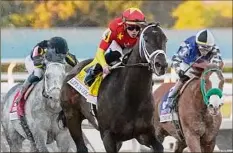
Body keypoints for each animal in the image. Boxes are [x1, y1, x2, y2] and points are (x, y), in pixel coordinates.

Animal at [57, 23, 167, 153]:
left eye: (165, 39)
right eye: (146, 39)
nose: (161, 65)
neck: (130, 96)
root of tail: (73, 68)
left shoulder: (144, 133)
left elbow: (158, 146)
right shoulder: (107, 136)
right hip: (72, 117)